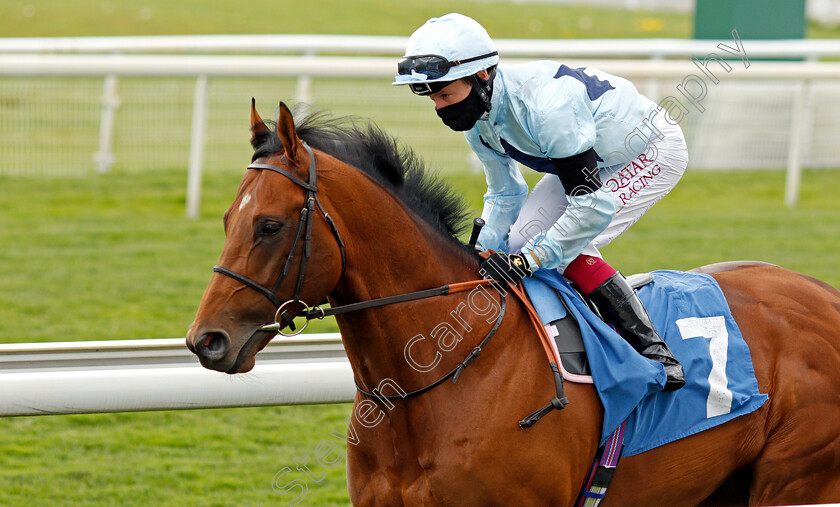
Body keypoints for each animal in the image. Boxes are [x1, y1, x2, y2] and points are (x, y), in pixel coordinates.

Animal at [185, 100, 840, 507]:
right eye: (226, 219)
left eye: (269, 226)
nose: (205, 340)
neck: (436, 378)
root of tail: (824, 294)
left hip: (795, 480)